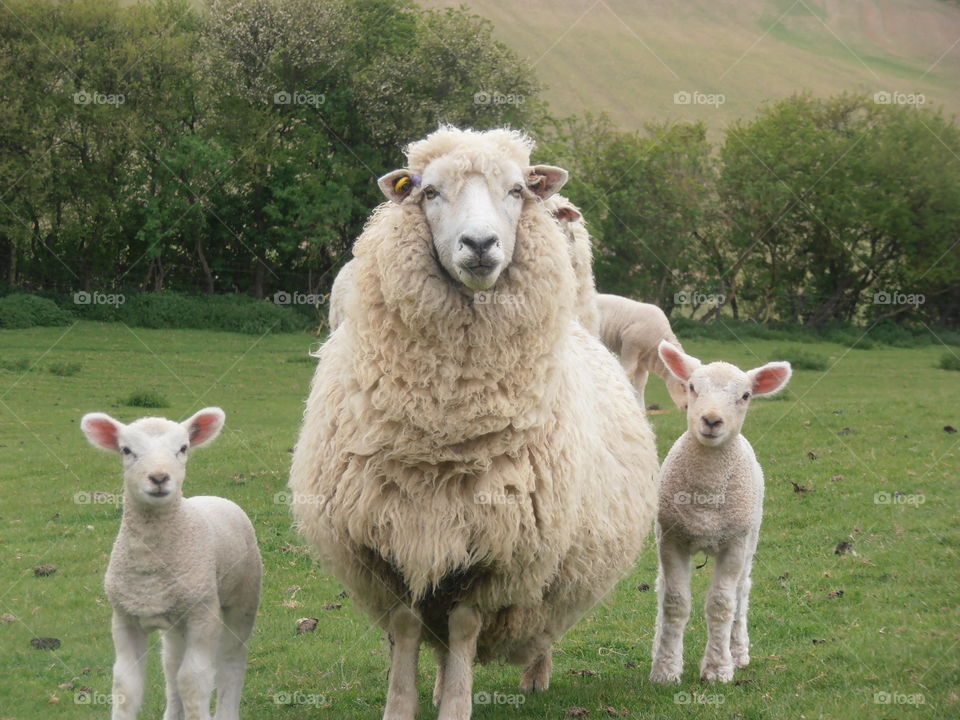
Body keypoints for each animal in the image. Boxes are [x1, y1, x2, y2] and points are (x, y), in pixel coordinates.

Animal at [79, 408, 262, 720]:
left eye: (183, 448)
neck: (150, 565)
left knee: (231, 660)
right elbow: (125, 685)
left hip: (243, 597)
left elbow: (193, 680)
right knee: (172, 665)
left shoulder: (203, 615)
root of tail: (214, 497)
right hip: (176, 620)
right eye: (126, 450)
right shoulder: (124, 618)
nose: (159, 477)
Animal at [286, 125, 660, 720]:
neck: (445, 428)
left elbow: (463, 628)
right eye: (429, 192)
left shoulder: (497, 549)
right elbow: (407, 627)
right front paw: (404, 705)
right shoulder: (388, 543)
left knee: (537, 628)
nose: (480, 245)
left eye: (517, 190)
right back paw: (441, 683)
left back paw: (534, 677)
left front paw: (457, 707)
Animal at [648, 340, 792, 684]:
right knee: (662, 589)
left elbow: (721, 605)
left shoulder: (734, 543)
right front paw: (665, 667)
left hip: (751, 535)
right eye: (692, 387)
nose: (712, 421)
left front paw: (717, 668)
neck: (706, 499)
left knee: (741, 593)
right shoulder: (671, 538)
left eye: (746, 395)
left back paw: (738, 651)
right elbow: (674, 602)